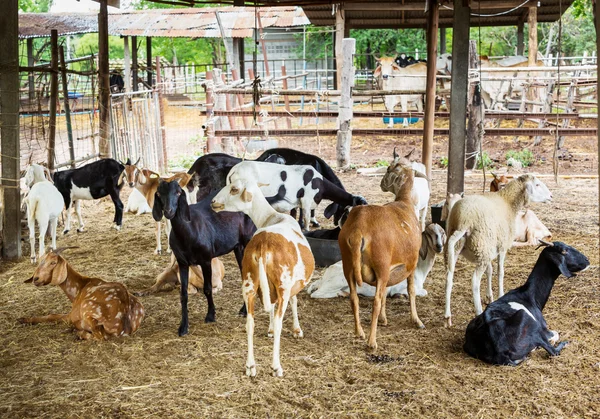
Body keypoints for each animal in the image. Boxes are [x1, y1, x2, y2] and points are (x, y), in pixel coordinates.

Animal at [152, 179, 255, 336]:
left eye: (178, 192)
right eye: (158, 193)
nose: (168, 211)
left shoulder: (206, 260)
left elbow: (207, 288)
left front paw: (210, 315)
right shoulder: (182, 263)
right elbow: (183, 294)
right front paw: (183, 327)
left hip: (249, 240)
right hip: (238, 247)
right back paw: (243, 310)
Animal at [310, 223, 446, 298]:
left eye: (442, 233)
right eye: (429, 235)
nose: (439, 246)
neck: (419, 270)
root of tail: (323, 277)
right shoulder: (399, 287)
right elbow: (423, 292)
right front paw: (399, 296)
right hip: (338, 280)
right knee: (316, 294)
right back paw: (343, 294)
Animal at [340, 154, 424, 352]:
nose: (381, 184)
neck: (404, 200)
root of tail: (358, 230)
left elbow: (386, 291)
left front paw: (384, 319)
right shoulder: (411, 263)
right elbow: (411, 290)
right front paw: (416, 320)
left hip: (348, 265)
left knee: (354, 298)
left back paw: (359, 332)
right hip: (381, 264)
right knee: (376, 301)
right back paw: (372, 342)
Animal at [442, 176, 552, 326]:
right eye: (537, 184)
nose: (551, 196)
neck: (508, 202)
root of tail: (463, 221)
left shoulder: (489, 250)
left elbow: (490, 271)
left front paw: (489, 296)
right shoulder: (501, 247)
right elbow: (500, 272)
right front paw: (500, 295)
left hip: (460, 248)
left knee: (449, 277)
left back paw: (447, 317)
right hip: (481, 244)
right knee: (475, 281)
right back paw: (478, 311)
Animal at [464, 241, 592, 366]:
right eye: (564, 250)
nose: (587, 260)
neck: (529, 296)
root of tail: (499, 353)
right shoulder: (542, 328)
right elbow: (555, 334)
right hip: (528, 322)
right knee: (552, 351)